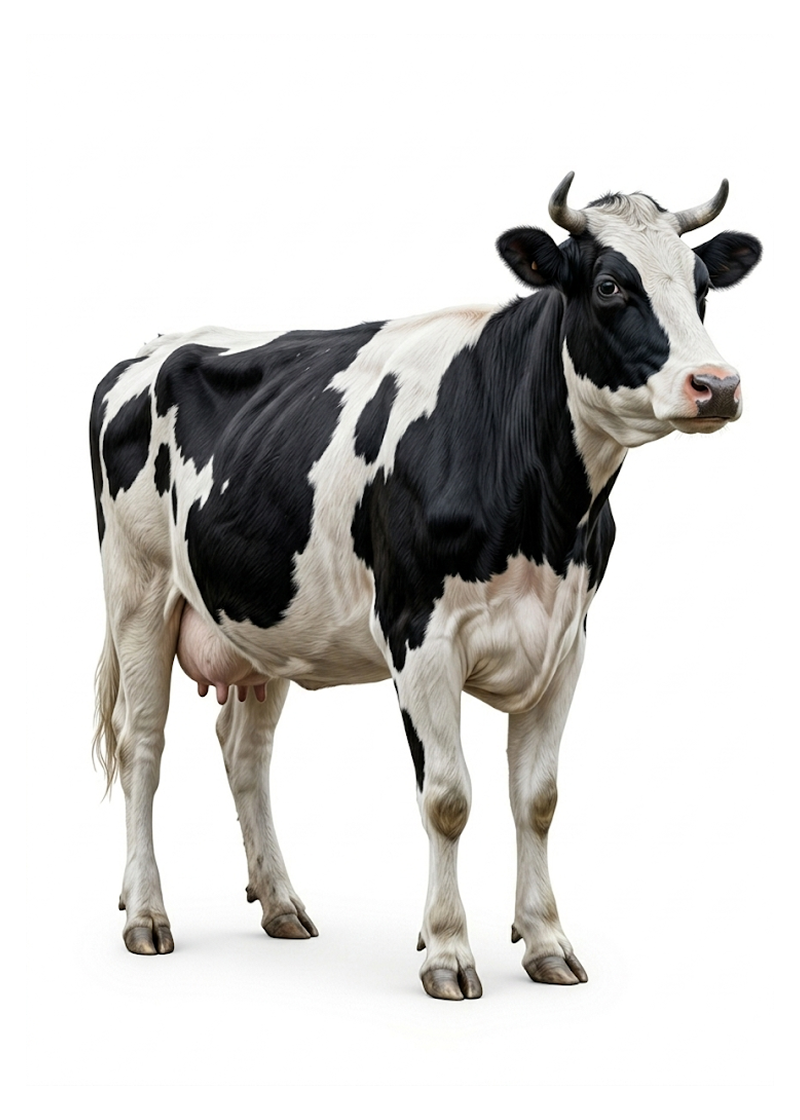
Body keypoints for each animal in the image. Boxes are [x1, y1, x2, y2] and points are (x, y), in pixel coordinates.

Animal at [90, 174, 761, 999]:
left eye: (701, 286)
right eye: (609, 285)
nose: (717, 385)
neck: (548, 516)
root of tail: (152, 347)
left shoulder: (565, 644)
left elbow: (538, 799)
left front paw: (546, 942)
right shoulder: (420, 637)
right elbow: (447, 799)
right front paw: (446, 950)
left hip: (262, 620)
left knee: (245, 754)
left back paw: (279, 903)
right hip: (138, 591)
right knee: (143, 748)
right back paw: (146, 914)